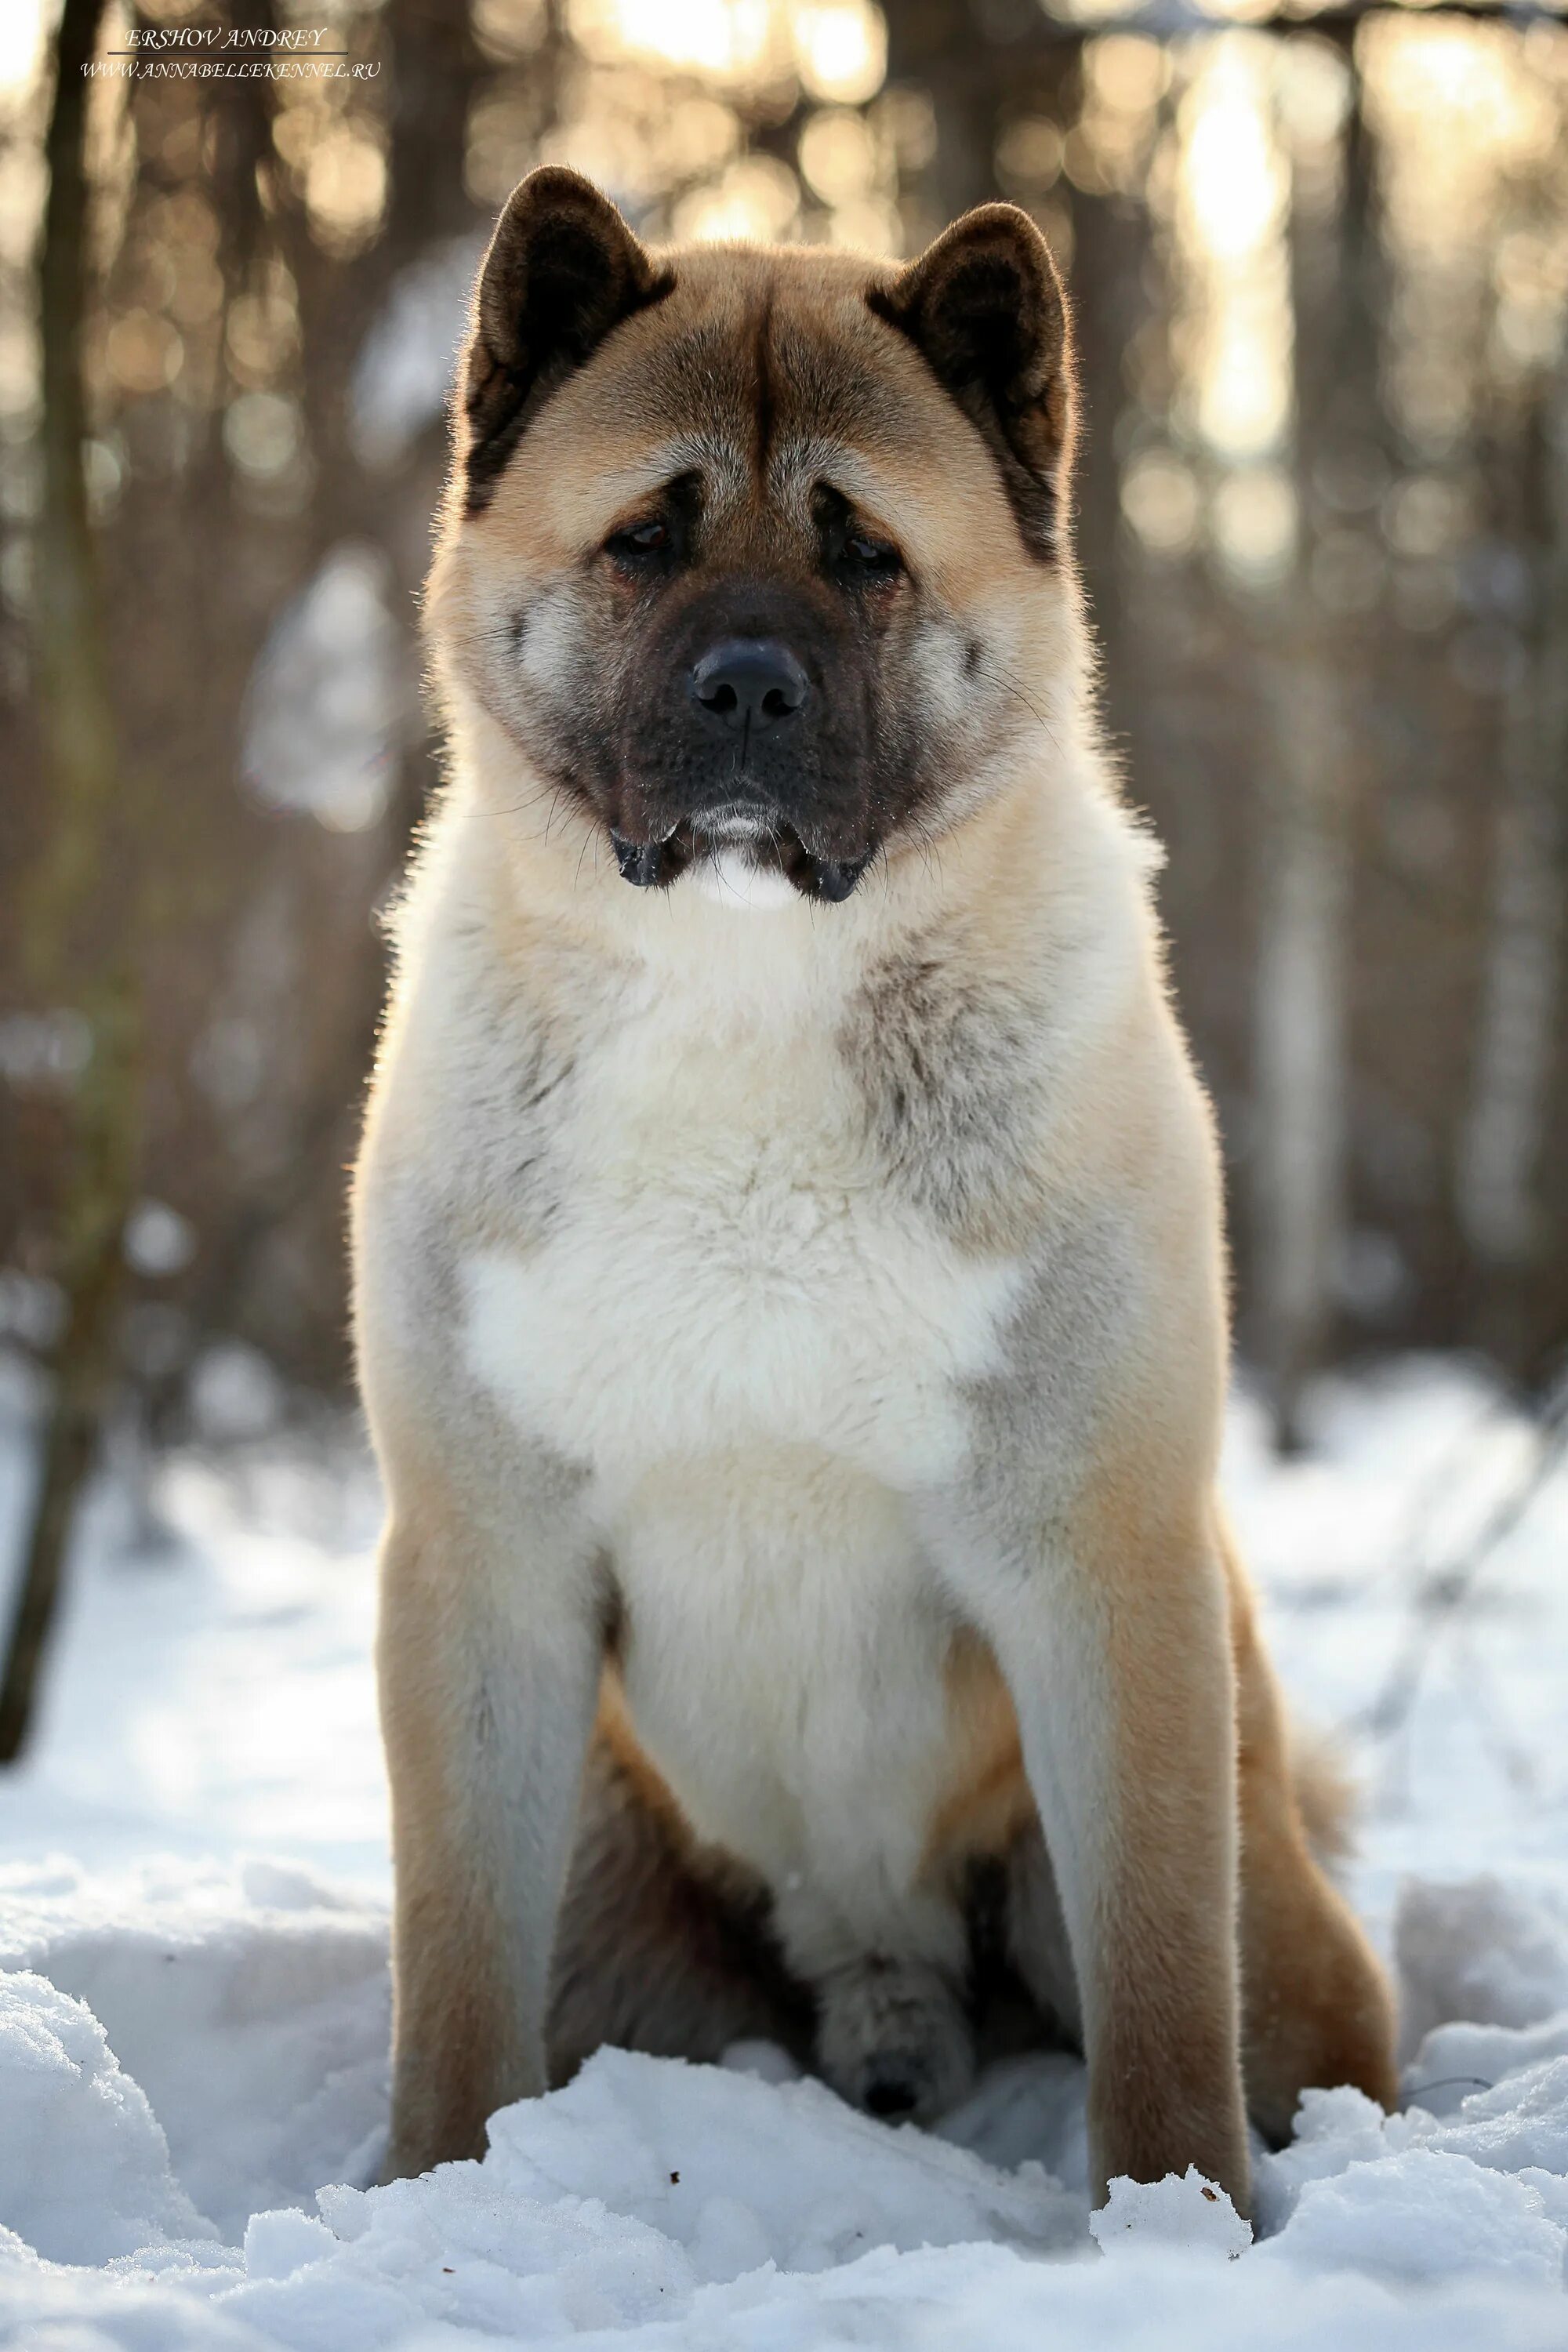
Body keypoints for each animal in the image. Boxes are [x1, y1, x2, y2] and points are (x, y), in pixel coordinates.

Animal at [354, 165, 1401, 2201]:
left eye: (865, 556)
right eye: (645, 538)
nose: (748, 686)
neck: (743, 982)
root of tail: (873, 1961)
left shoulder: (1100, 1575)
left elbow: (1164, 2002)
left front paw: (1180, 2220)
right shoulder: (481, 1573)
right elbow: (450, 1984)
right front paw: (423, 2198)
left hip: (1227, 1886)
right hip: (605, 1852)